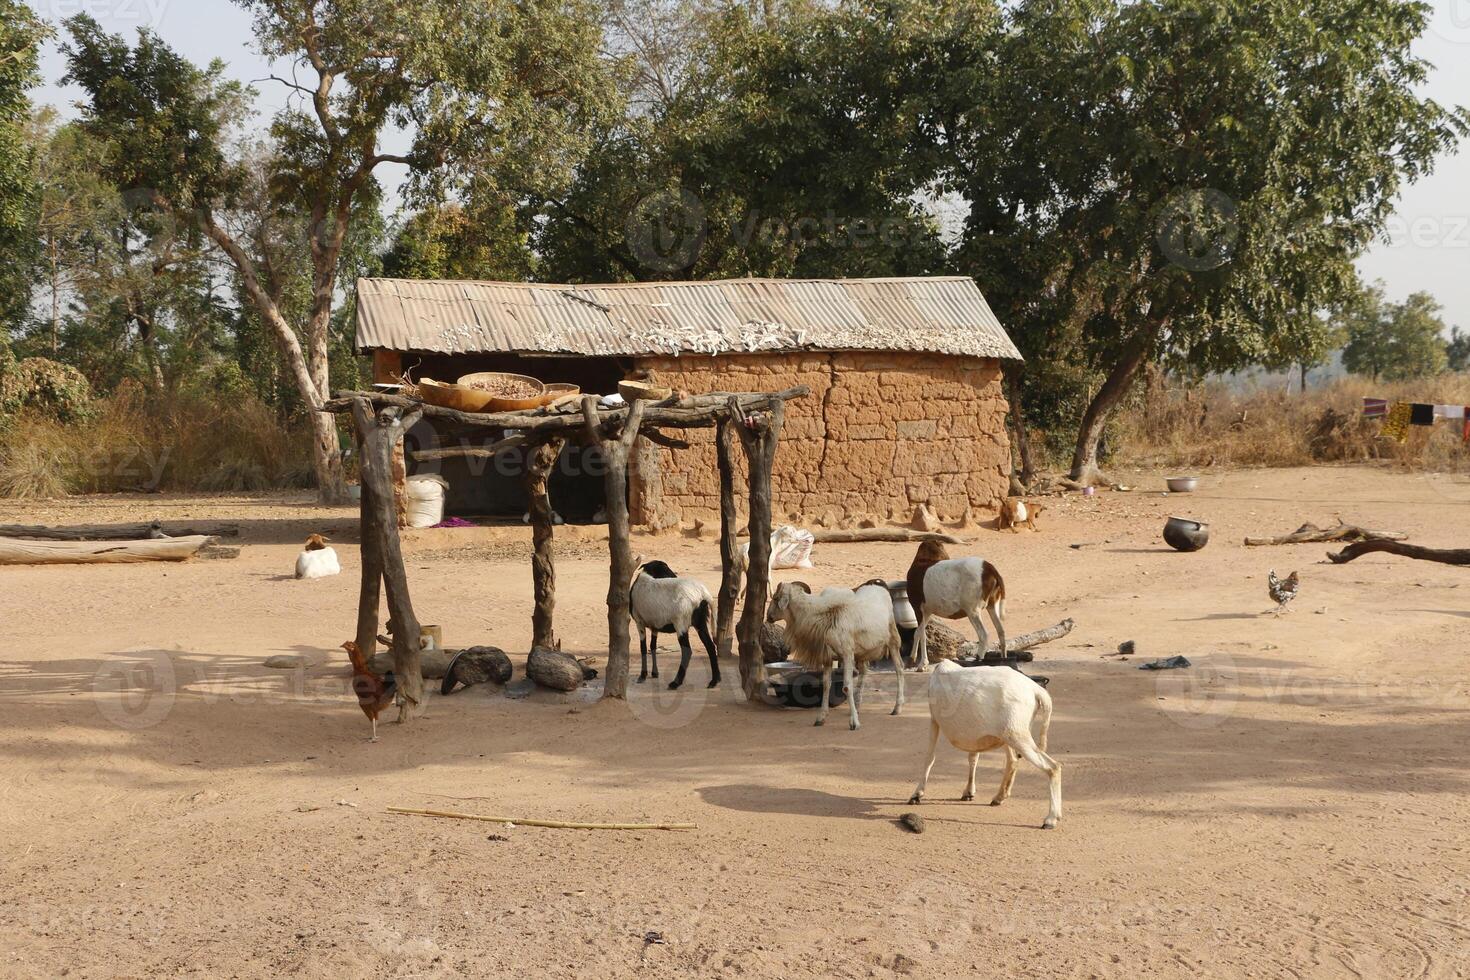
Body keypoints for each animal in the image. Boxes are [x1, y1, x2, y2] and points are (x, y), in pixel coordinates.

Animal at [629, 558, 720, 690]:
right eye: (664, 569)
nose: (675, 576)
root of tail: (704, 594)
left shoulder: (639, 622)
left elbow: (643, 648)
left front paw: (643, 675)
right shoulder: (654, 626)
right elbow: (652, 646)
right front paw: (654, 673)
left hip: (681, 623)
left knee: (687, 651)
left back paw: (675, 683)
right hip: (700, 622)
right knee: (711, 647)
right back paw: (714, 681)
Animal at [764, 578, 899, 731]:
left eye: (775, 598)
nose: (768, 617)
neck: (823, 614)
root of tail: (878, 585)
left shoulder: (847, 654)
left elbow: (847, 687)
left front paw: (854, 723)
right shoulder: (827, 658)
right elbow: (826, 685)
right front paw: (820, 718)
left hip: (893, 640)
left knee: (899, 670)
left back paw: (897, 708)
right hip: (862, 652)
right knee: (864, 672)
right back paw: (858, 706)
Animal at [899, 658, 1064, 828]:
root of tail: (1036, 690)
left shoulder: (934, 720)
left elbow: (930, 758)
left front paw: (916, 795)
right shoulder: (975, 732)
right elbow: (973, 758)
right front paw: (969, 792)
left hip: (1017, 735)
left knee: (1053, 767)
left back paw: (1051, 819)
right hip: (1009, 735)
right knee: (1013, 760)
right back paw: (998, 798)